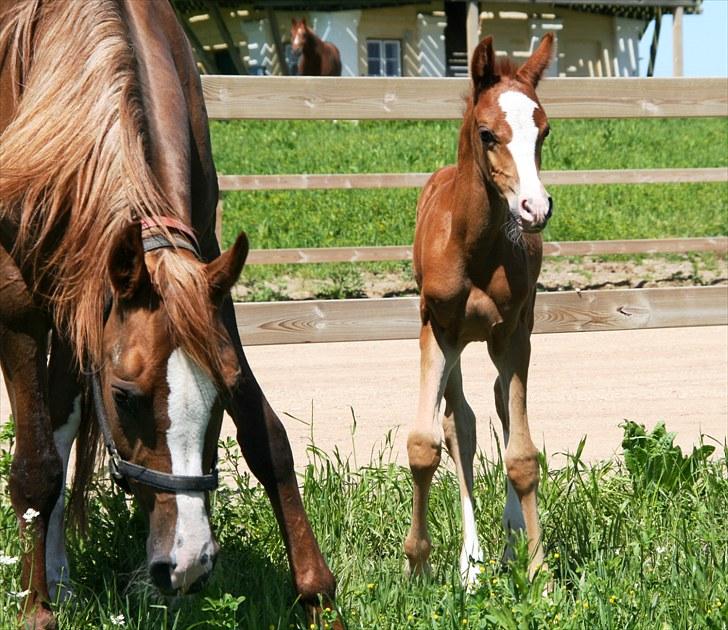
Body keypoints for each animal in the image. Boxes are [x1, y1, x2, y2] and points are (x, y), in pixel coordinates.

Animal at [0, 2, 336, 628]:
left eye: (222, 396)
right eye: (127, 397)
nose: (186, 564)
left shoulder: (205, 281)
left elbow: (267, 437)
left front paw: (319, 597)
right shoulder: (17, 307)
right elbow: (35, 469)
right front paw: (37, 612)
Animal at [406, 33, 556, 588]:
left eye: (544, 131)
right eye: (488, 133)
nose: (535, 208)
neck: (473, 244)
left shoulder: (511, 333)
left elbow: (522, 454)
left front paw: (538, 571)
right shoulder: (437, 329)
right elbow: (429, 442)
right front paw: (418, 562)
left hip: (507, 335)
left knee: (499, 406)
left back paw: (508, 542)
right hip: (455, 342)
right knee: (461, 424)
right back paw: (470, 562)